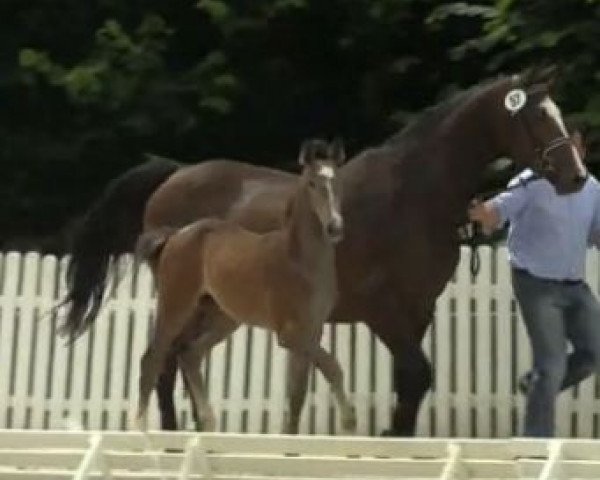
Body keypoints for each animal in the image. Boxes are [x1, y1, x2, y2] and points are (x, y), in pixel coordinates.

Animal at [135, 138, 356, 432]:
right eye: (311, 182)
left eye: (338, 180)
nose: (335, 227)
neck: (299, 259)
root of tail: (176, 234)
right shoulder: (290, 335)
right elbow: (332, 366)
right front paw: (349, 420)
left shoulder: (312, 331)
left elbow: (298, 394)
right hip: (176, 304)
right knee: (153, 358)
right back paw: (138, 428)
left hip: (223, 317)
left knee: (190, 354)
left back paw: (208, 422)